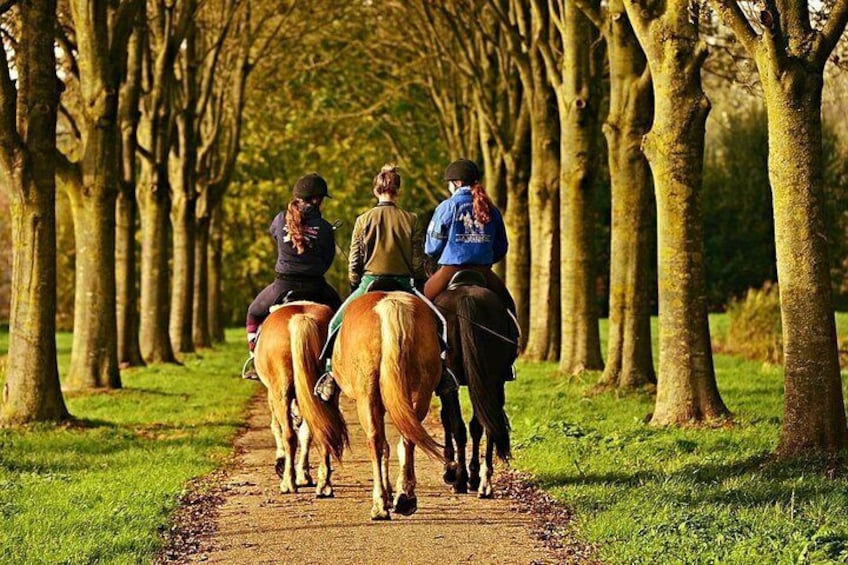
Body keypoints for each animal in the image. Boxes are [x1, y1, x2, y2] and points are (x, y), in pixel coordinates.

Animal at [252, 302, 348, 496]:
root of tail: (302, 318)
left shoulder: (272, 395)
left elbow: (277, 427)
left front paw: (282, 464)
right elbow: (306, 433)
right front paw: (304, 475)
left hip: (280, 393)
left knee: (289, 434)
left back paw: (288, 483)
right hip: (325, 394)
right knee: (323, 429)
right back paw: (324, 485)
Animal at [332, 290, 448, 520]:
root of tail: (390, 303)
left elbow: (383, 446)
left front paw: (385, 496)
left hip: (366, 395)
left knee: (375, 440)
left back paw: (379, 505)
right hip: (420, 392)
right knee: (408, 438)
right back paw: (405, 497)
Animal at [434, 274, 512, 498]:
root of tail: (466, 297)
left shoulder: (446, 386)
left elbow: (447, 420)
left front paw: (450, 471)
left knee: (460, 427)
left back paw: (461, 479)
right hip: (492, 380)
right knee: (486, 425)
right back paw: (483, 482)